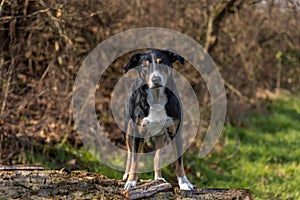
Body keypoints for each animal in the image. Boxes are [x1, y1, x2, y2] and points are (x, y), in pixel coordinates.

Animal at [122, 48, 195, 191]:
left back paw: (159, 178)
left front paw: (184, 182)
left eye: (162, 63)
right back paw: (127, 175)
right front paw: (131, 181)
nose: (156, 79)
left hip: (161, 136)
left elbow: (179, 162)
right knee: (130, 154)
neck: (157, 99)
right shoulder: (138, 132)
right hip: (129, 129)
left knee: (157, 157)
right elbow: (135, 160)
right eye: (144, 66)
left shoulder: (175, 131)